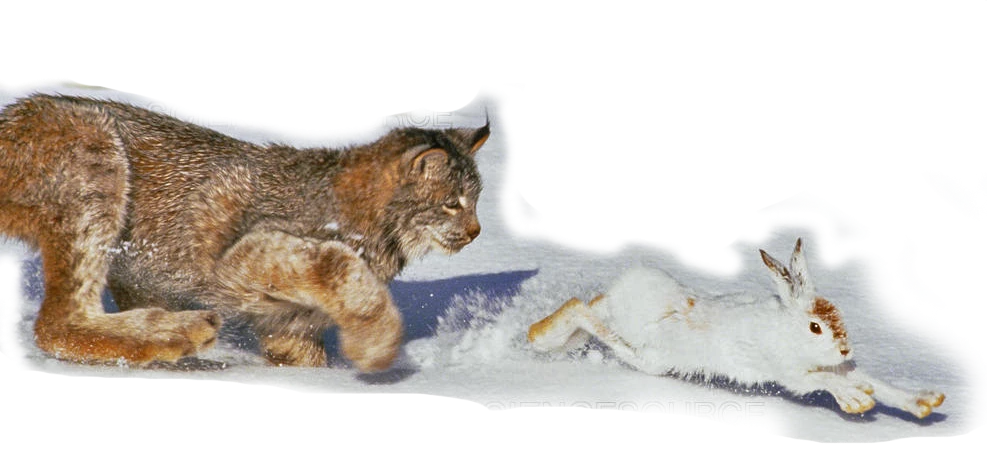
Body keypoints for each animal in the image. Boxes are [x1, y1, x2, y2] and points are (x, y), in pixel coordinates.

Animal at [528, 238, 945, 419]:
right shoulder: (791, 374)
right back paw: (538, 337)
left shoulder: (837, 367)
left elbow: (876, 383)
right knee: (581, 309)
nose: (845, 349)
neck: (786, 328)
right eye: (815, 327)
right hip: (650, 357)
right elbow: (825, 382)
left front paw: (926, 403)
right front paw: (857, 402)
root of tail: (620, 295)